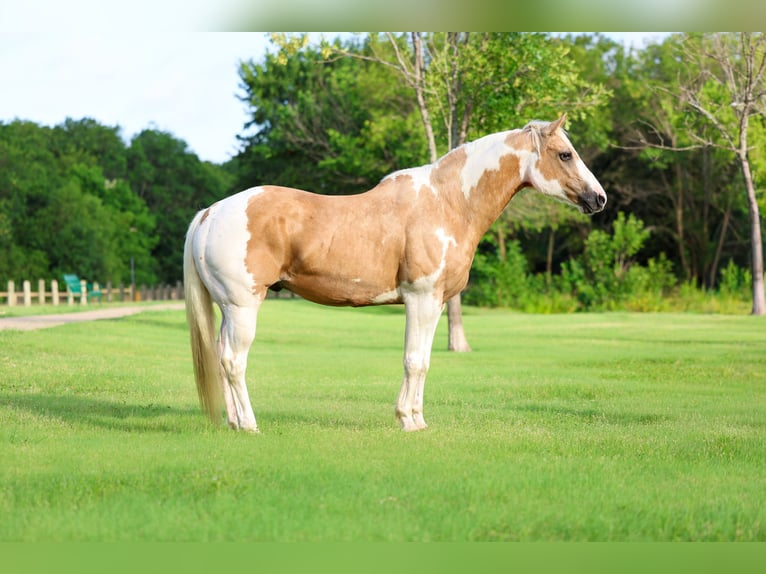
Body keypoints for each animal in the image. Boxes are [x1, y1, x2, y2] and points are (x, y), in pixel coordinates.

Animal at [183, 114, 606, 432]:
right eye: (565, 154)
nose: (599, 198)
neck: (447, 202)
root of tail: (211, 212)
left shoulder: (435, 303)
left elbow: (423, 360)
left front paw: (415, 418)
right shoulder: (420, 299)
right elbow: (413, 360)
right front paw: (408, 421)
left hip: (229, 309)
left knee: (221, 357)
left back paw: (234, 423)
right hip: (243, 307)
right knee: (234, 361)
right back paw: (250, 424)